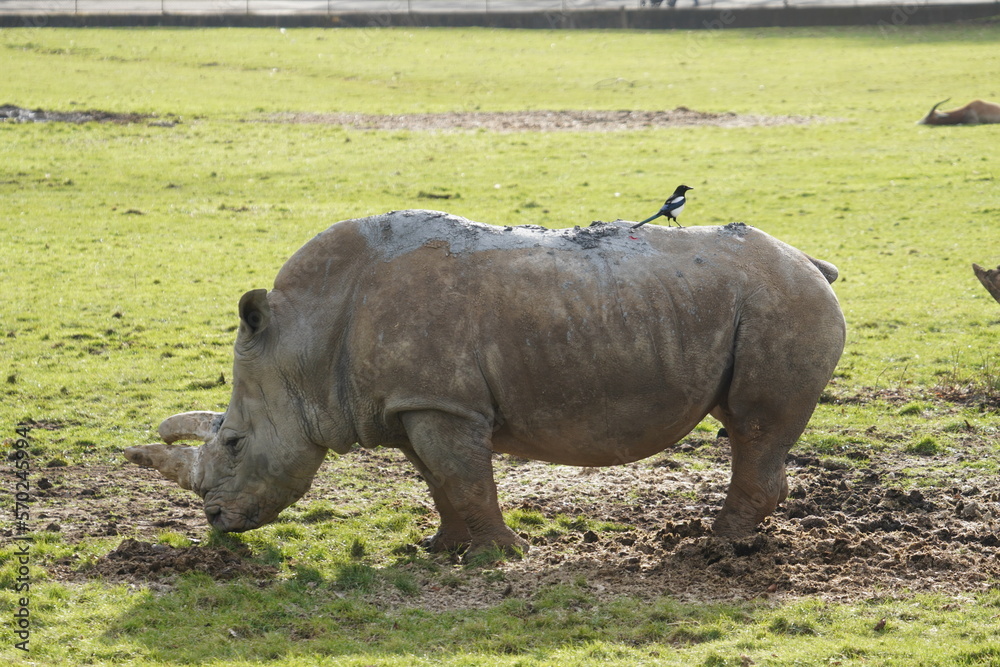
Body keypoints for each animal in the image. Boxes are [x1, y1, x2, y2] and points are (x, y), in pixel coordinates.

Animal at [125, 210, 846, 556]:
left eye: (237, 443)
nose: (217, 521)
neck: (301, 339)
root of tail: (812, 262)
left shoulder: (443, 403)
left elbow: (466, 477)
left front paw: (504, 554)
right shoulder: (414, 404)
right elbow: (441, 480)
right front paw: (441, 548)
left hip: (781, 302)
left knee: (755, 425)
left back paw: (716, 546)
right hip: (750, 302)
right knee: (748, 427)